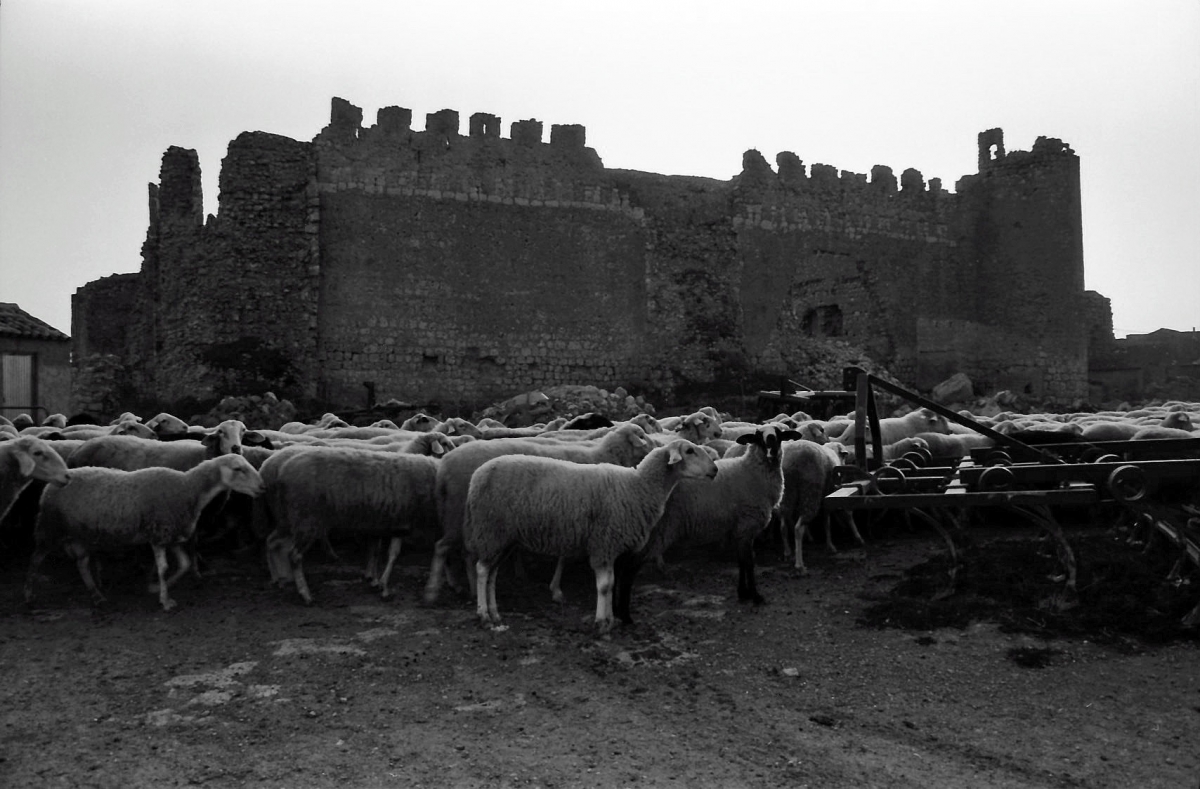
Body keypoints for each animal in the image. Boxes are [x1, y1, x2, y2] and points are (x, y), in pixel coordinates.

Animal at [25, 450, 265, 611]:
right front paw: (164, 599)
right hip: (49, 528)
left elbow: (185, 564)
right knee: (34, 561)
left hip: (80, 534)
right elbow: (164, 568)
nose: (262, 487)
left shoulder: (172, 535)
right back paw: (29, 595)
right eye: (238, 469)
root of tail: (54, 482)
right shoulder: (159, 535)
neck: (188, 488)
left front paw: (155, 588)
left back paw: (96, 595)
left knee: (82, 564)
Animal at [427, 422, 657, 599]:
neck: (602, 454)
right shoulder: (572, 517)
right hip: (462, 514)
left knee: (462, 552)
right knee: (442, 547)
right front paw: (556, 589)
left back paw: (466, 587)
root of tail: (444, 467)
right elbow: (563, 557)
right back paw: (435, 590)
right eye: (642, 435)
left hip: (465, 518)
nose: (658, 445)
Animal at [463, 436, 715, 633]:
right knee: (482, 570)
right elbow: (604, 586)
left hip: (503, 538)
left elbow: (611, 584)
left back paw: (495, 614)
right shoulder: (604, 543)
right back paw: (484, 616)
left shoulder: (611, 547)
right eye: (689, 451)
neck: (638, 487)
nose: (715, 470)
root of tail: (477, 475)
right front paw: (602, 623)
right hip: (491, 530)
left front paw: (610, 619)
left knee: (492, 574)